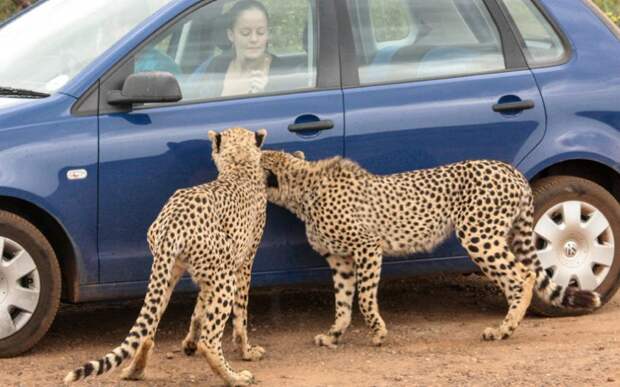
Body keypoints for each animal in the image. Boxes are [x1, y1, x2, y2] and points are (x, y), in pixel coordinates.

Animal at [66, 126, 268, 384]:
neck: (239, 166)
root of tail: (174, 220)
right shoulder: (241, 265)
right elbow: (241, 314)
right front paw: (247, 351)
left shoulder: (208, 277)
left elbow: (199, 308)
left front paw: (189, 342)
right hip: (223, 279)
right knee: (210, 342)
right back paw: (234, 377)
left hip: (167, 274)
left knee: (146, 330)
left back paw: (134, 370)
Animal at [262, 150, 600, 348]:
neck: (305, 189)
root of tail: (510, 169)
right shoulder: (340, 259)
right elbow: (342, 302)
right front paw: (334, 334)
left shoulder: (368, 246)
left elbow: (365, 298)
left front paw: (378, 333)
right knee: (520, 276)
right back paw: (505, 325)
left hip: (479, 235)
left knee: (523, 276)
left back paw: (505, 328)